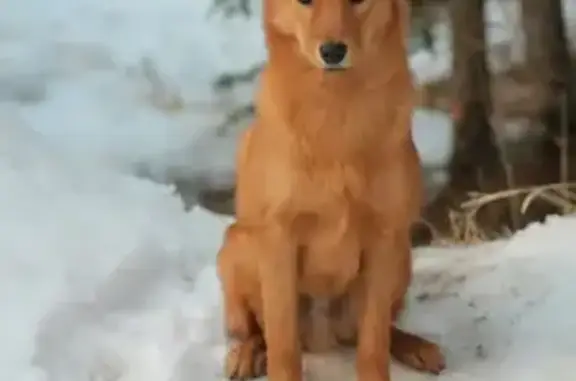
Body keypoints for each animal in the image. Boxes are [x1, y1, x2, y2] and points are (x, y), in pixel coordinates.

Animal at [216, 0, 446, 380]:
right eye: (306, 2)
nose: (333, 52)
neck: (337, 113)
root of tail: (323, 335)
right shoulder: (279, 237)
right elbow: (282, 343)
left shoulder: (384, 237)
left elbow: (373, 344)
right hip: (238, 246)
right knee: (255, 330)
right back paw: (247, 354)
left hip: (401, 254)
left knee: (380, 329)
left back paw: (416, 346)